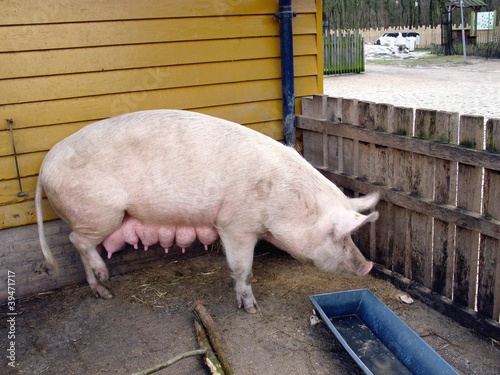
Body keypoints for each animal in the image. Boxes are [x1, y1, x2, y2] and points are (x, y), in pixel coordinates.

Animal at [36, 109, 378, 314]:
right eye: (337, 235)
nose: (369, 266)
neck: (284, 199)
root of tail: (44, 166)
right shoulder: (235, 225)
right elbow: (243, 269)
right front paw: (251, 309)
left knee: (80, 244)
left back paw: (103, 291)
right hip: (101, 213)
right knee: (77, 240)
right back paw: (105, 276)